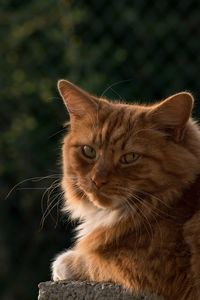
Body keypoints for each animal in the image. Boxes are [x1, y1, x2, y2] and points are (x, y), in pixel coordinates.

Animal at [50, 79, 200, 300]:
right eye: (89, 151)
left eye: (130, 158)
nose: (97, 180)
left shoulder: (144, 268)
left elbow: (88, 261)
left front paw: (63, 263)